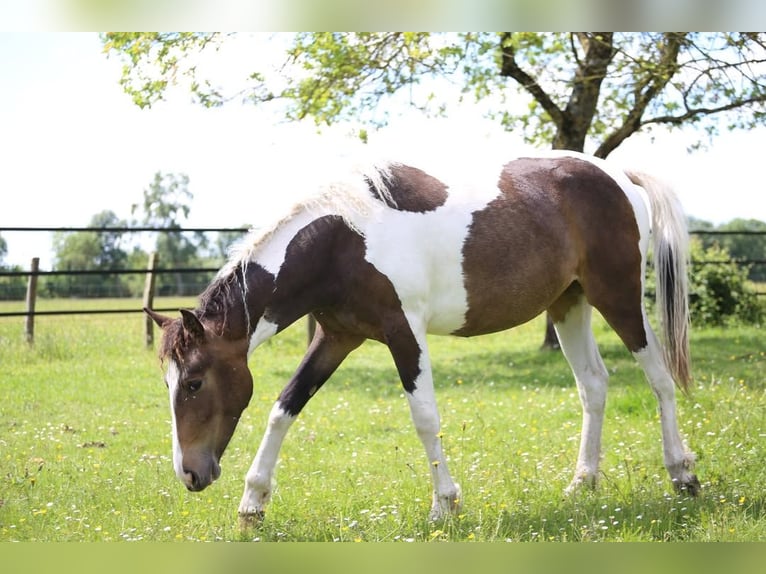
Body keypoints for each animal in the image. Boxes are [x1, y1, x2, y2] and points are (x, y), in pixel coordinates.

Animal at [145, 150, 699, 526]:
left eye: (193, 383)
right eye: (169, 384)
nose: (189, 474)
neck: (344, 239)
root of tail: (619, 175)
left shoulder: (403, 331)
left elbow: (425, 417)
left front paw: (444, 505)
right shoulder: (336, 338)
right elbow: (284, 407)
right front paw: (253, 504)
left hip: (618, 296)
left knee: (660, 378)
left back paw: (683, 475)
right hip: (570, 304)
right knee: (594, 386)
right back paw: (583, 483)